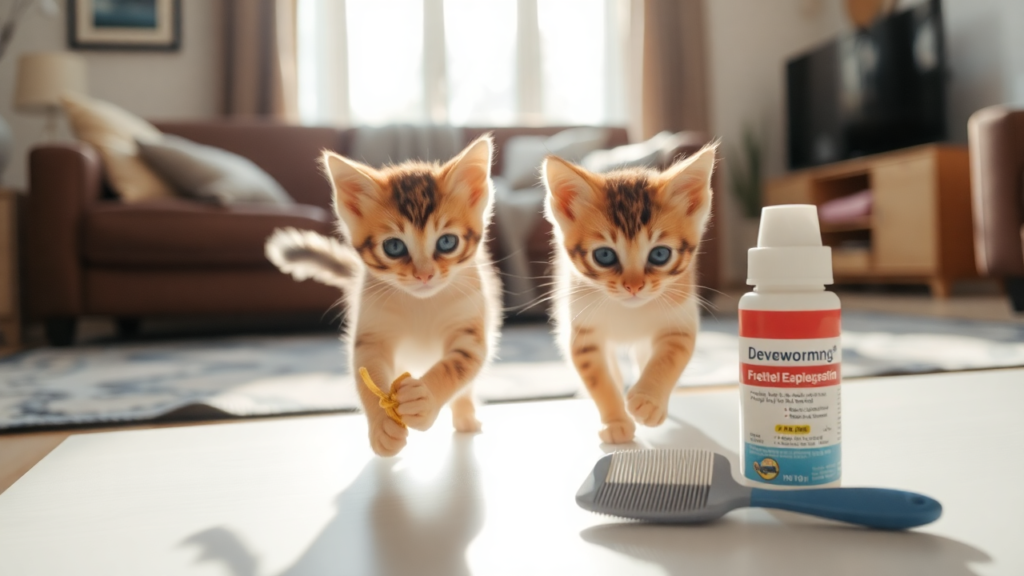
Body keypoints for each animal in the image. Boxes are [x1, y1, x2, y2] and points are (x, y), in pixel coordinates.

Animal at [266, 136, 501, 455]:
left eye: (447, 242)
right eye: (394, 247)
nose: (424, 275)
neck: (421, 304)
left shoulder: (471, 327)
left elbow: (458, 366)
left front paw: (426, 398)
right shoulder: (371, 335)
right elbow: (369, 374)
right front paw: (381, 425)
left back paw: (465, 417)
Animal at [540, 145, 716, 440]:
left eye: (659, 254)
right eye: (604, 256)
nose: (634, 286)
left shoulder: (681, 319)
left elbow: (670, 357)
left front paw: (649, 400)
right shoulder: (582, 332)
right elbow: (599, 378)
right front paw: (615, 421)